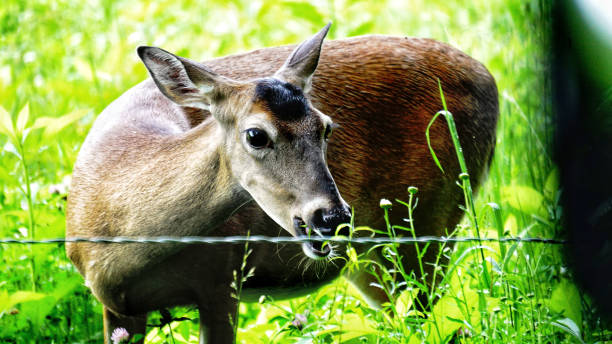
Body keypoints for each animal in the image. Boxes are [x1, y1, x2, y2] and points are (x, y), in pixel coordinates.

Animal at [65, 22, 498, 342]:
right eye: (256, 135)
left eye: (326, 127)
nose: (332, 217)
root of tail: (489, 78)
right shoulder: (115, 307)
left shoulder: (223, 278)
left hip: (427, 227)